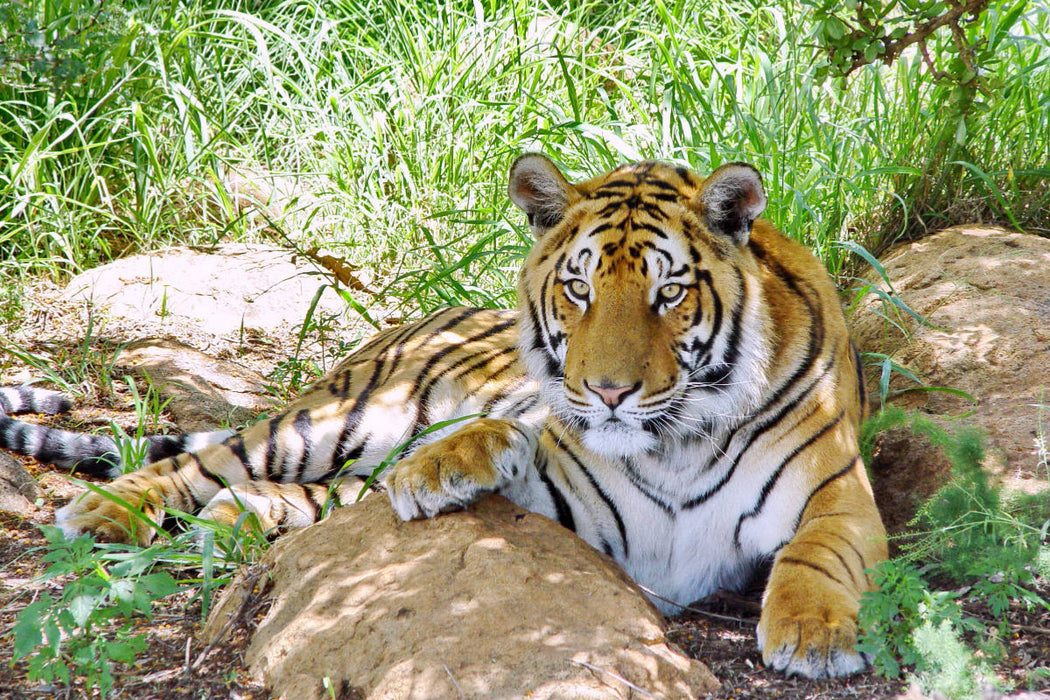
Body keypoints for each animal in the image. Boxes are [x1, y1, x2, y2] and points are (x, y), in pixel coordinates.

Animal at [1, 154, 887, 679]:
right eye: (579, 289)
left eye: (669, 293)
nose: (607, 392)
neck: (674, 445)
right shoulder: (579, 503)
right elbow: (508, 437)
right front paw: (445, 466)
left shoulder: (843, 498)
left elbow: (818, 554)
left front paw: (811, 633)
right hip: (337, 418)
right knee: (208, 461)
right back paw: (104, 511)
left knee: (294, 497)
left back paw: (237, 522)